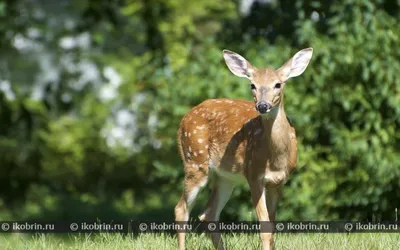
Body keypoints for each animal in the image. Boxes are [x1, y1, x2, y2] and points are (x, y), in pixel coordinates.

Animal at [174, 47, 312, 249]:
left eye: (278, 84)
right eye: (252, 85)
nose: (262, 105)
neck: (275, 158)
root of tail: (183, 120)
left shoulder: (279, 181)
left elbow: (272, 228)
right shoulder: (253, 174)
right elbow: (264, 228)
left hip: (225, 177)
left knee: (209, 213)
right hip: (195, 161)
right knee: (181, 209)